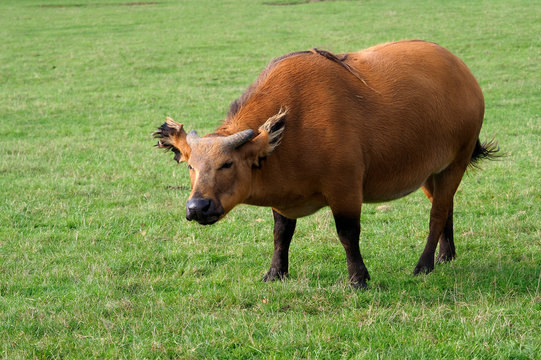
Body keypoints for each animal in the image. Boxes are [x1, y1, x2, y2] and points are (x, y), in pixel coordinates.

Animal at [153, 39, 498, 288]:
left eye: (227, 164)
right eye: (190, 166)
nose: (197, 207)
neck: (293, 127)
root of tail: (463, 72)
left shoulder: (345, 190)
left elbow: (347, 234)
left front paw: (358, 278)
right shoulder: (283, 198)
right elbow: (281, 234)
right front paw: (275, 273)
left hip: (456, 162)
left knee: (437, 213)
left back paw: (425, 263)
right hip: (429, 171)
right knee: (446, 205)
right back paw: (446, 254)